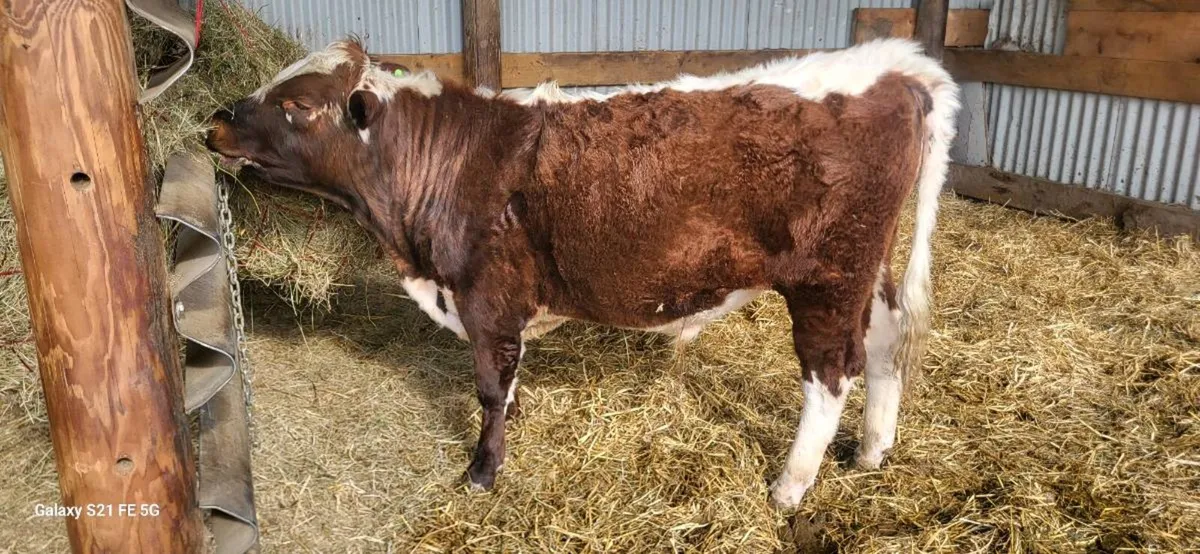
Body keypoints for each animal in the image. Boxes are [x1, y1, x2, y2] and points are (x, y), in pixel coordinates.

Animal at [206, 38, 959, 508]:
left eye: (297, 106)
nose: (213, 124)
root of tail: (893, 64)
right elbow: (508, 383)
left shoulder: (486, 296)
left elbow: (489, 388)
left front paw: (482, 471)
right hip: (868, 270)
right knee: (887, 343)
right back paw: (872, 449)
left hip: (826, 277)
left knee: (831, 372)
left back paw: (791, 485)